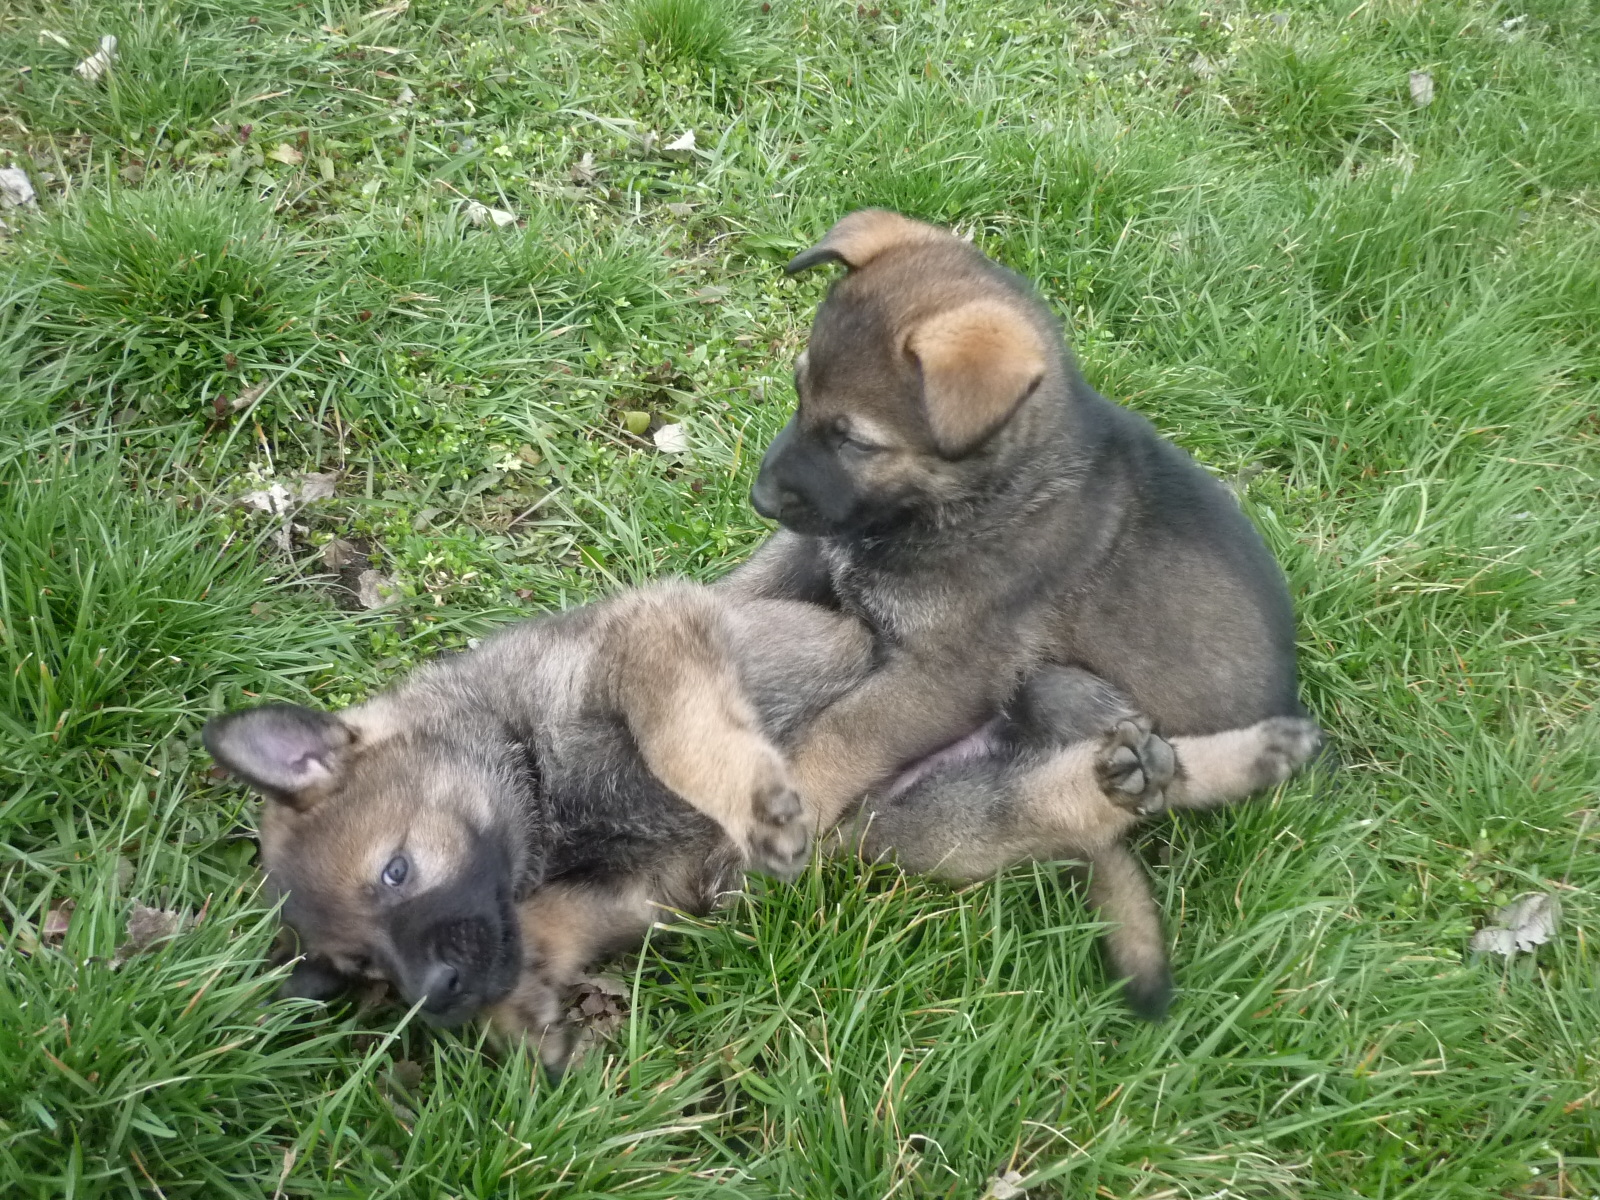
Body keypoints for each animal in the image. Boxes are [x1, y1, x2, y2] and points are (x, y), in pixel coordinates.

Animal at [728, 209, 1324, 1015]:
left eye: (853, 440)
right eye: (798, 391)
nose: (760, 498)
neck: (978, 494)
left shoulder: (947, 674)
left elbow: (841, 733)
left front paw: (792, 799)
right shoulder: (816, 548)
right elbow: (743, 588)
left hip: (1050, 710)